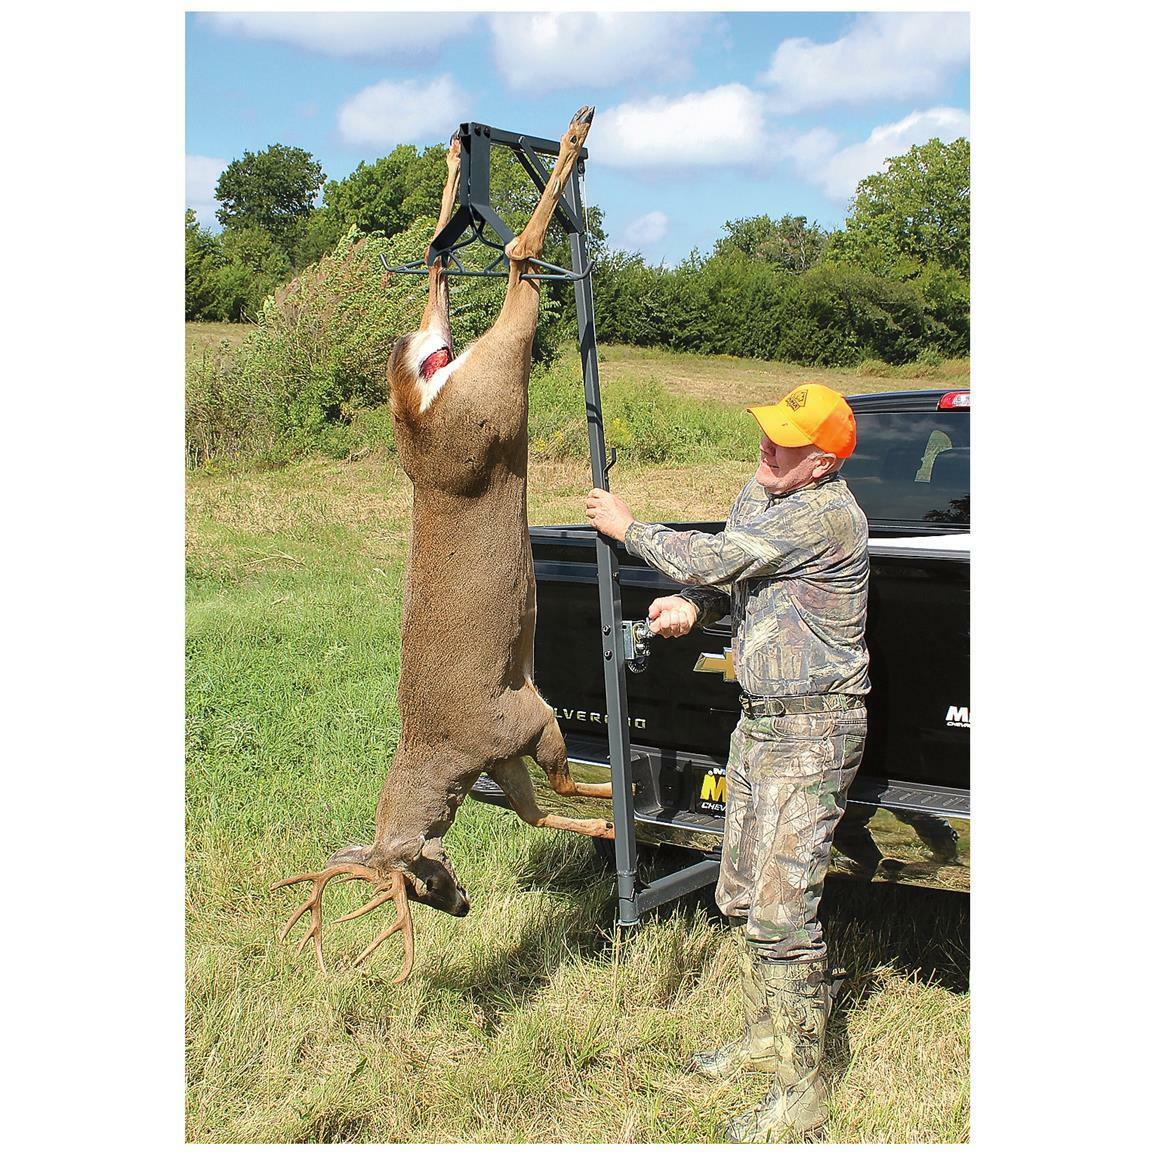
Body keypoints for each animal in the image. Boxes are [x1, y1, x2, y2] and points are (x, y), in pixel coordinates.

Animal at [272, 107, 613, 983]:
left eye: (416, 877)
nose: (460, 905)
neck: (447, 757)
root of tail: (416, 408)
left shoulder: (523, 716)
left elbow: (563, 783)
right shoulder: (509, 746)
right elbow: (539, 811)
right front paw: (607, 823)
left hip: (492, 394)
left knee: (511, 262)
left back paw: (565, 137)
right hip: (474, 391)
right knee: (438, 268)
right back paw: (475, 149)